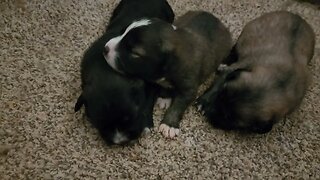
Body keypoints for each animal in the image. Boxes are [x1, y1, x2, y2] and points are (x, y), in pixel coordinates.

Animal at [74, 0, 175, 144]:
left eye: (131, 117)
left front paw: (146, 124)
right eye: (100, 123)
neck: (107, 70)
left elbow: (148, 103)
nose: (120, 141)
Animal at [105, 10, 232, 138]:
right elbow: (147, 103)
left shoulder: (188, 89)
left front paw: (169, 125)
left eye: (134, 53)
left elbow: (178, 106)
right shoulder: (151, 82)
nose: (105, 49)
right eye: (123, 32)